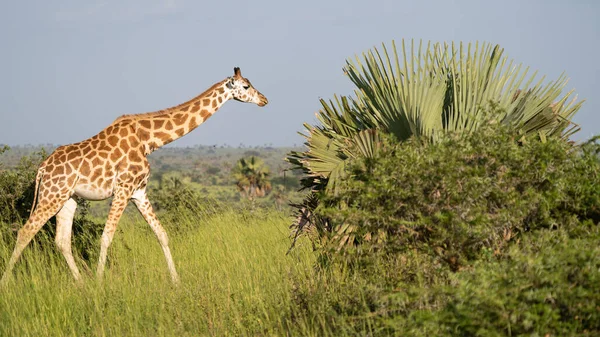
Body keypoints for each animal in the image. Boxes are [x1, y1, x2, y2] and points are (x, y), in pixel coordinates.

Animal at [0, 66, 268, 284]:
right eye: (246, 86)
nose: (265, 99)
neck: (148, 140)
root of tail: (42, 168)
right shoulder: (123, 188)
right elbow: (106, 237)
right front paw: (100, 282)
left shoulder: (139, 191)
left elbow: (162, 234)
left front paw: (176, 281)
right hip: (52, 194)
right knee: (25, 232)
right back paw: (7, 283)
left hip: (68, 198)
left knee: (61, 241)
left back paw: (81, 283)